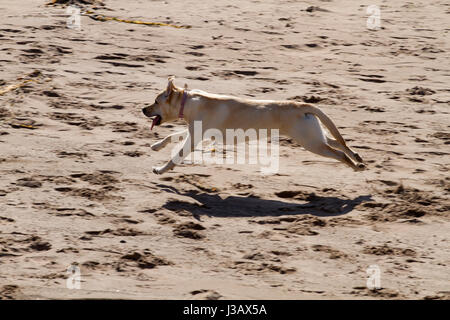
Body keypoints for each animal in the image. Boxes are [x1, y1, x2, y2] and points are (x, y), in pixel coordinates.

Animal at [142, 77, 364, 175]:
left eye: (155, 101)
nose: (143, 109)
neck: (187, 102)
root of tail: (302, 105)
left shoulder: (194, 137)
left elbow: (176, 155)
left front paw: (161, 169)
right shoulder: (195, 132)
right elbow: (171, 136)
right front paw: (157, 145)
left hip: (311, 143)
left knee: (339, 153)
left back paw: (355, 165)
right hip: (314, 136)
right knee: (338, 143)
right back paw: (357, 158)